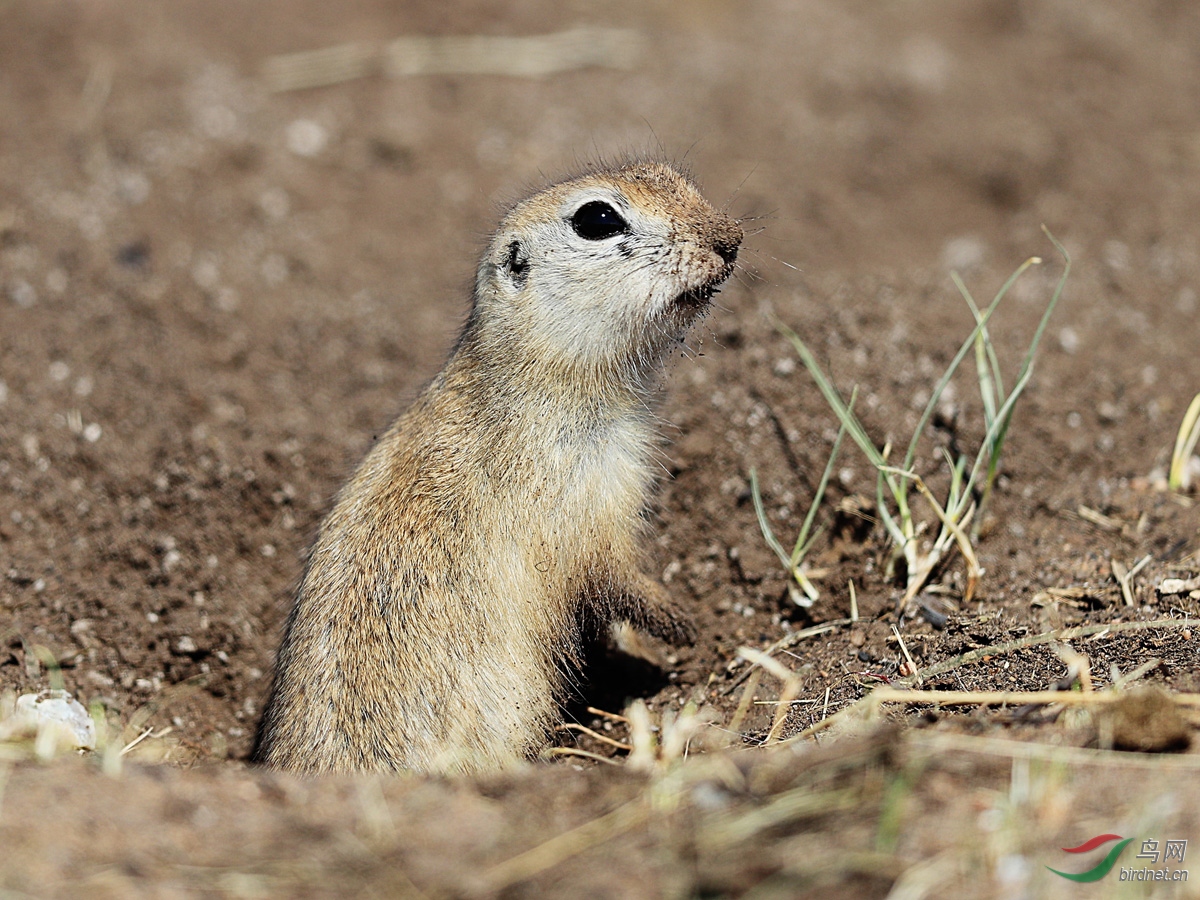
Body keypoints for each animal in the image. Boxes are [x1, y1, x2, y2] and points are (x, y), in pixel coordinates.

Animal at [253, 160, 739, 777]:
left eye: (669, 173)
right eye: (597, 219)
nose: (731, 238)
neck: (531, 376)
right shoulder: (580, 498)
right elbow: (615, 577)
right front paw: (683, 624)